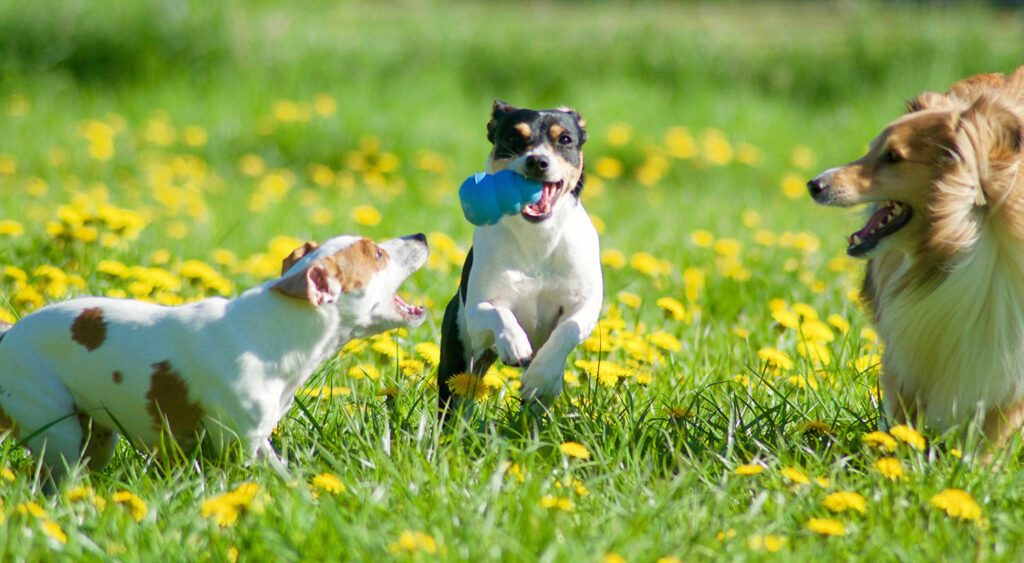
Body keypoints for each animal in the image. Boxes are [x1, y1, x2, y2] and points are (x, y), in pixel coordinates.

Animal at [0, 234, 428, 485]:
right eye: (378, 253)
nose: (421, 235)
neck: (280, 327)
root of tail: (8, 334)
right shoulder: (238, 441)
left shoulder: (259, 439)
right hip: (57, 428)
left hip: (98, 436)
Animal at [438, 100, 598, 419]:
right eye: (513, 137)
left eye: (565, 139)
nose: (537, 161)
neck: (538, 236)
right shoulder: (476, 313)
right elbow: (499, 312)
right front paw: (515, 344)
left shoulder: (585, 306)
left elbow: (566, 332)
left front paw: (542, 376)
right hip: (458, 357)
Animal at [811, 67, 1024, 446]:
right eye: (871, 150)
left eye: (894, 157)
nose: (814, 184)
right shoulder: (912, 351)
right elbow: (904, 416)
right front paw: (895, 454)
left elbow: (988, 439)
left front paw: (969, 461)